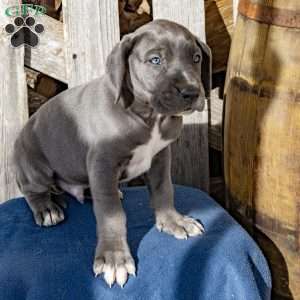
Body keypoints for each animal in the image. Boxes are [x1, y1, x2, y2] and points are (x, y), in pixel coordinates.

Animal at [13, 19, 211, 288]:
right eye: (155, 60)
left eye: (196, 58)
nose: (191, 92)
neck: (149, 117)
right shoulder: (103, 163)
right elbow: (112, 214)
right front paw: (114, 258)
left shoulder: (160, 157)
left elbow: (164, 190)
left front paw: (172, 221)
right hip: (34, 164)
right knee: (32, 190)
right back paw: (46, 208)